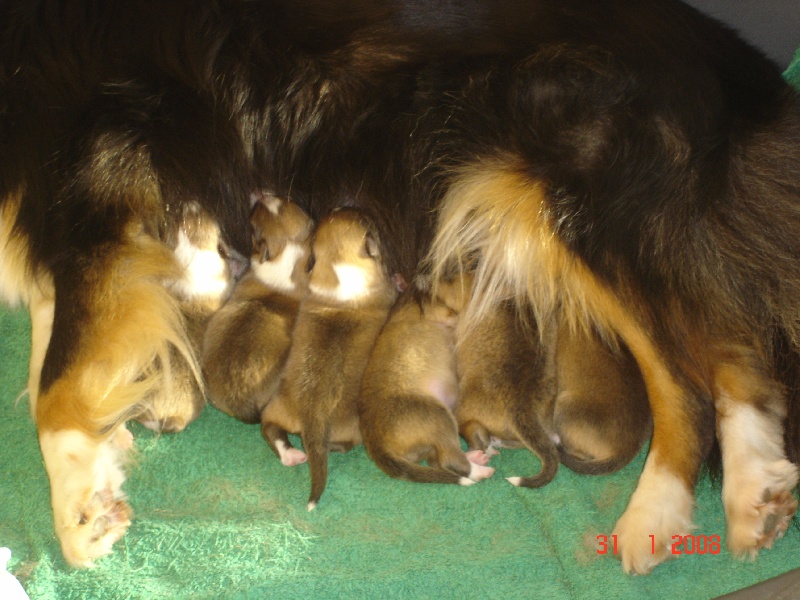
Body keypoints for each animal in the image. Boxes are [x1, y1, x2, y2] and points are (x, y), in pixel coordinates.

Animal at [262, 209, 396, 508]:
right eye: (368, 224)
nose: (356, 207)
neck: (338, 266)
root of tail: (312, 417)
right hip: (354, 426)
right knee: (340, 445)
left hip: (276, 407)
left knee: (271, 431)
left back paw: (293, 454)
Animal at [360, 276, 494, 488]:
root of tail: (376, 443)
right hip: (438, 414)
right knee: (451, 460)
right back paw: (480, 470)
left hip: (430, 442)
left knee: (438, 461)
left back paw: (475, 457)